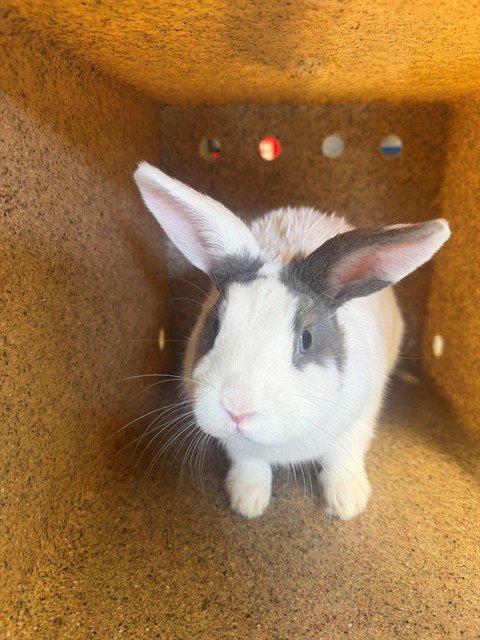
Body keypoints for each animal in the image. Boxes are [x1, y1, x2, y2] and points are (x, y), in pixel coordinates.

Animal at [134, 162, 450, 521]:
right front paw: (247, 502)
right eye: (214, 326)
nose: (237, 409)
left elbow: (343, 458)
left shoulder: (359, 420)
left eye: (306, 339)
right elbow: (250, 464)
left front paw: (347, 504)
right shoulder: (240, 448)